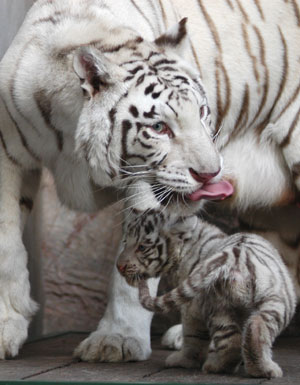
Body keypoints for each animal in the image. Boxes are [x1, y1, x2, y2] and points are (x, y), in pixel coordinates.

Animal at [0, 0, 298, 364]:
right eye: (159, 127)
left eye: (202, 112)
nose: (211, 173)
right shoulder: (9, 150)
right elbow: (7, 245)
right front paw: (7, 325)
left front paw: (116, 339)